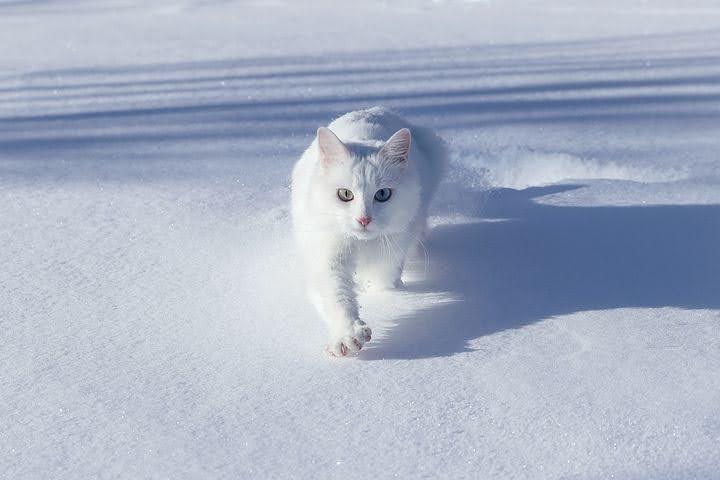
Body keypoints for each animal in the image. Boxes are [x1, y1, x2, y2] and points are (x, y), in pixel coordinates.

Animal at [292, 108, 444, 356]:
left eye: (382, 194)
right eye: (345, 194)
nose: (364, 219)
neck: (361, 244)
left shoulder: (390, 254)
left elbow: (384, 281)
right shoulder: (327, 254)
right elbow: (336, 294)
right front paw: (347, 336)